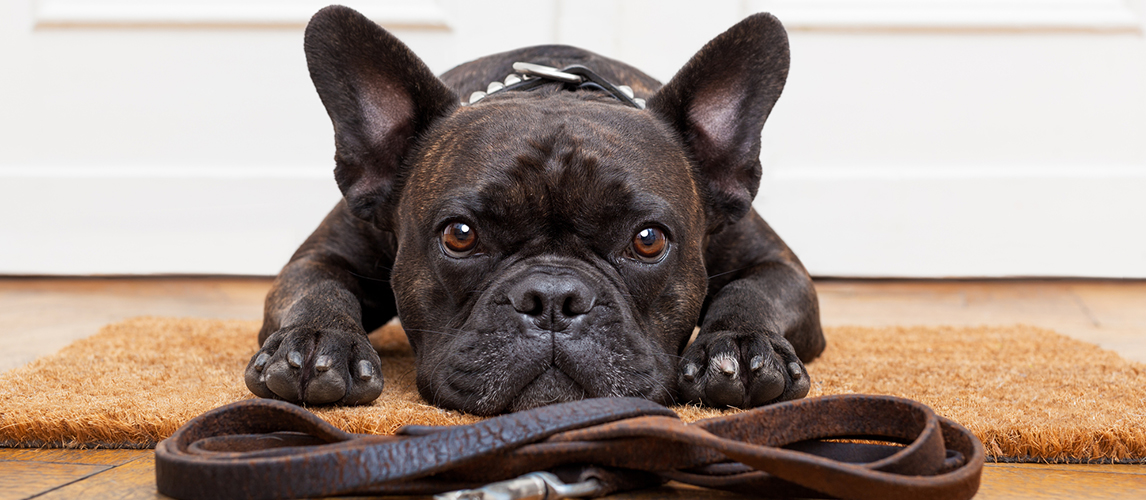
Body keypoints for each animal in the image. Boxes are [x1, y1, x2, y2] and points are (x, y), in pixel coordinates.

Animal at [246, 5, 829, 415]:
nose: (552, 298)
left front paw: (742, 345)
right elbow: (318, 287)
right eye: (460, 235)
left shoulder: (779, 266)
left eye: (648, 240)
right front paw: (318, 341)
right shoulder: (321, 257)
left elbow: (752, 291)